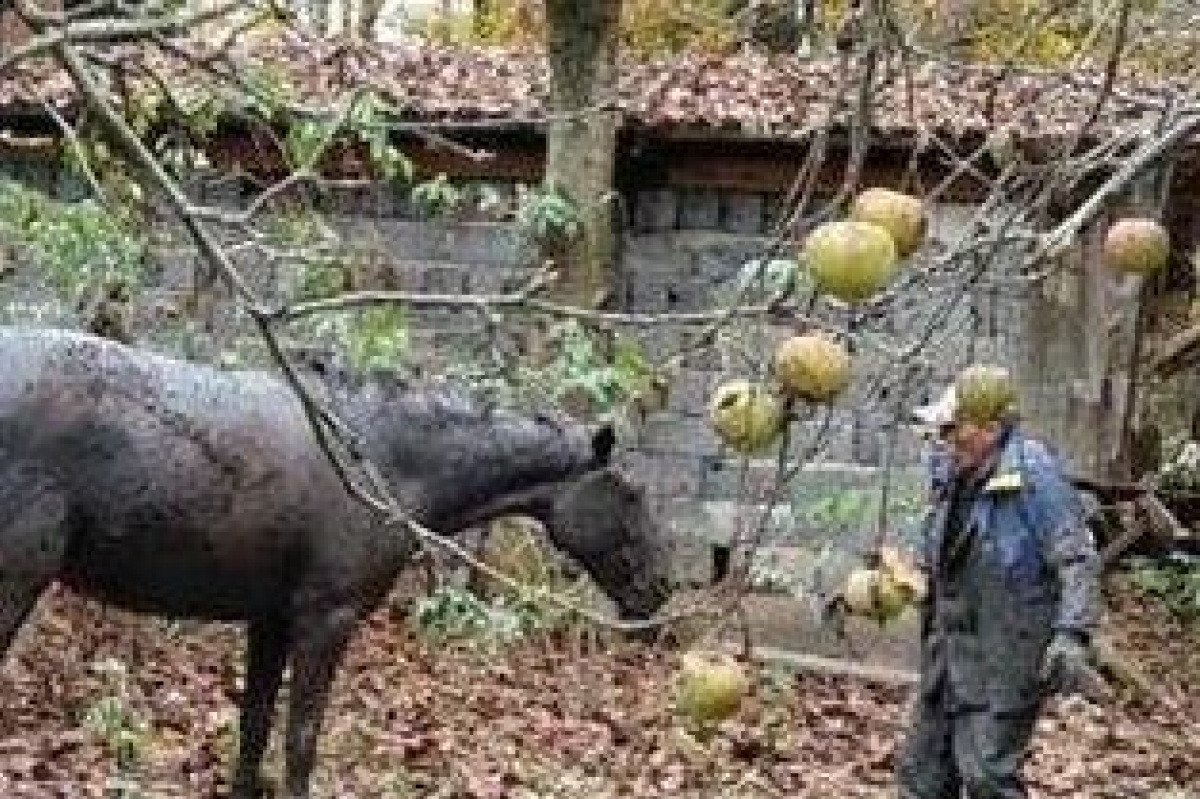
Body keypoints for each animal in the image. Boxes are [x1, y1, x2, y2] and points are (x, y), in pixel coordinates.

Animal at [0, 326, 676, 796]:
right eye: (631, 493)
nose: (662, 586)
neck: (385, 457)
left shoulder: (271, 620)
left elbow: (254, 732)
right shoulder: (327, 619)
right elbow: (301, 743)